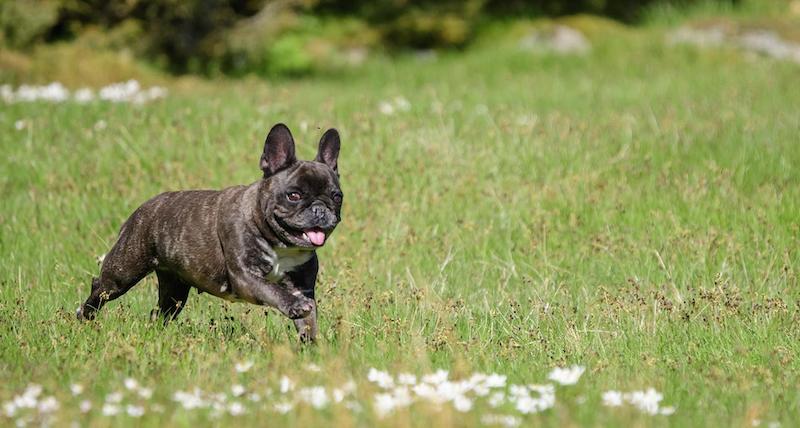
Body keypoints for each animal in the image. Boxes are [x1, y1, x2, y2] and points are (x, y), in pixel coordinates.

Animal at [78, 122, 344, 342]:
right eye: (294, 195)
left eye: (337, 197)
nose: (320, 209)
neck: (280, 244)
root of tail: (145, 206)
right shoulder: (246, 278)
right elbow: (273, 290)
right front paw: (294, 307)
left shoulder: (303, 287)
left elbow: (308, 323)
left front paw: (311, 349)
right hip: (124, 270)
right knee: (101, 287)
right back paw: (84, 316)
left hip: (174, 291)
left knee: (161, 312)